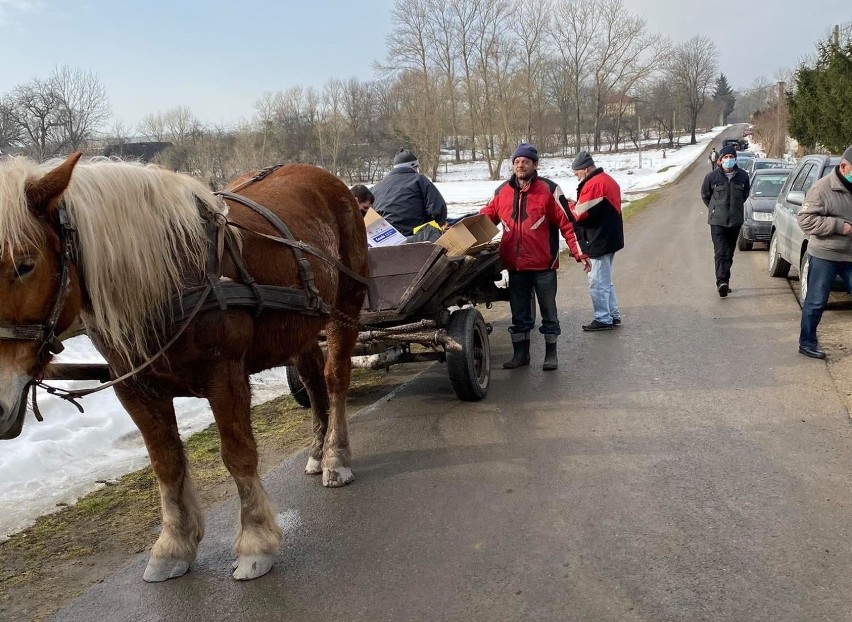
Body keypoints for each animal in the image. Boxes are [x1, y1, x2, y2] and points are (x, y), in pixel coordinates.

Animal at [0, 154, 370, 584]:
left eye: (25, 265)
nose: (0, 408)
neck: (167, 276)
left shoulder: (224, 375)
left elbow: (238, 455)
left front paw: (256, 541)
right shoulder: (135, 389)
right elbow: (166, 464)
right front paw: (174, 545)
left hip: (344, 308)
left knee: (334, 380)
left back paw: (335, 458)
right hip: (300, 327)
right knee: (311, 380)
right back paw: (316, 452)